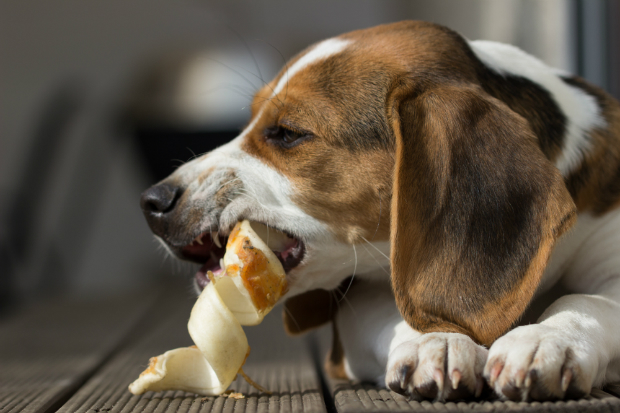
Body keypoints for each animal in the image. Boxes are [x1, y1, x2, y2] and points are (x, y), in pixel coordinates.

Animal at [140, 20, 620, 400]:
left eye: (287, 133)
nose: (152, 202)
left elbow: (587, 299)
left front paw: (546, 340)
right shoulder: (354, 311)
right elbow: (399, 312)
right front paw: (435, 343)